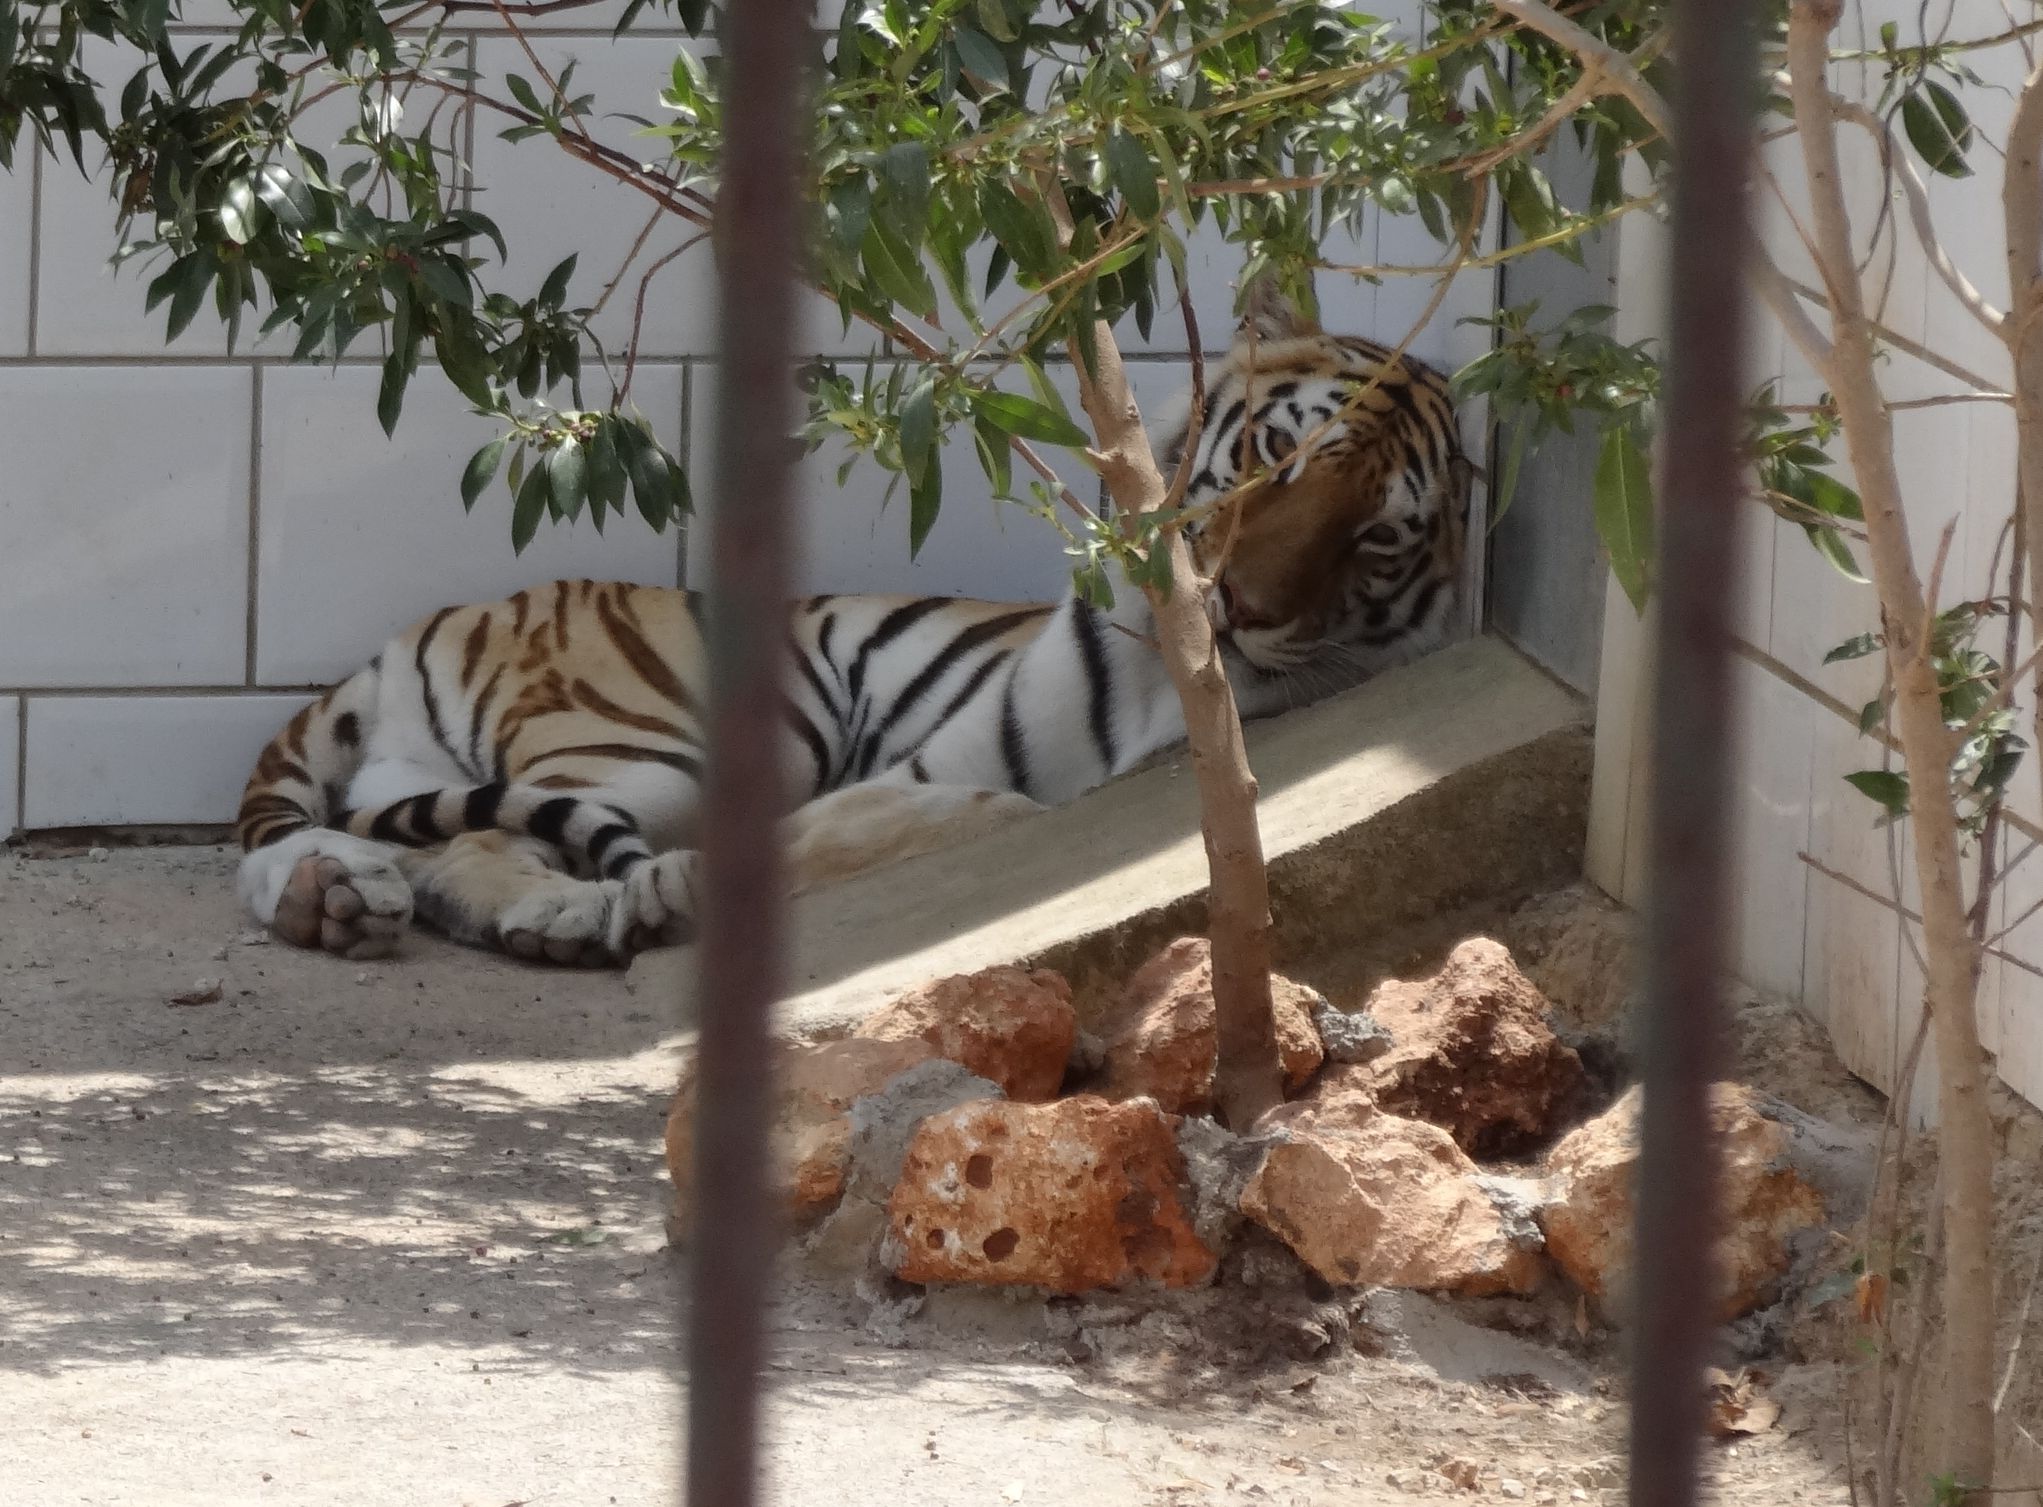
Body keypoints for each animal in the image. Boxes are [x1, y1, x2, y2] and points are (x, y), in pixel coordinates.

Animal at [234, 279, 1470, 963]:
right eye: (1275, 454)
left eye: (1375, 537)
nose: (1239, 605)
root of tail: (421, 632)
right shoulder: (928, 763)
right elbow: (898, 823)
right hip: (673, 743)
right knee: (477, 838)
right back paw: (543, 912)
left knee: (429, 839)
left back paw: (364, 902)